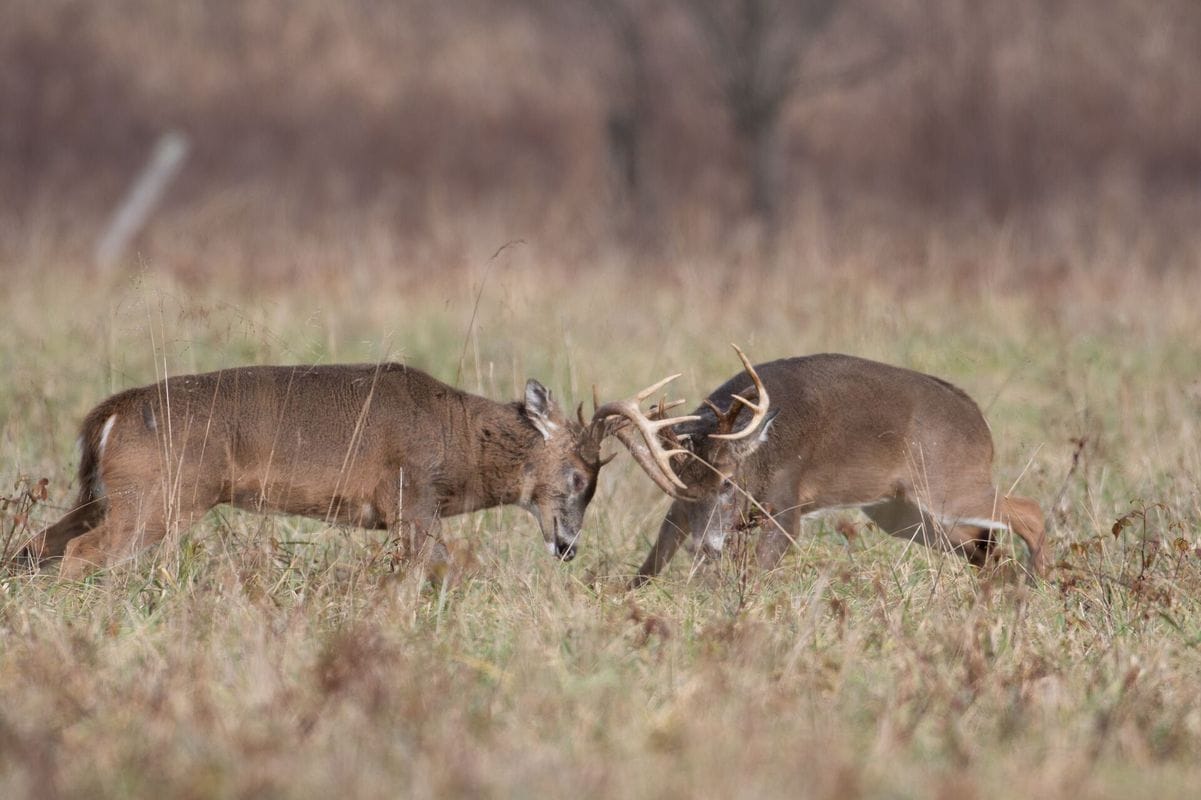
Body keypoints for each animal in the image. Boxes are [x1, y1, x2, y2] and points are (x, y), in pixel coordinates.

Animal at [22, 362, 688, 581]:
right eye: (577, 477)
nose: (568, 544)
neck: (459, 442)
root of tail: (107, 414)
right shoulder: (411, 499)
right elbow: (447, 572)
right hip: (157, 498)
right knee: (80, 553)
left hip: (100, 495)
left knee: (36, 545)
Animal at [619, 347, 1047, 587]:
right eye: (680, 485)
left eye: (727, 482)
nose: (705, 547)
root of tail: (981, 424)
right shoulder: (680, 510)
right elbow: (653, 558)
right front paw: (627, 596)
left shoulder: (786, 503)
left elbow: (759, 569)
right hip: (903, 512)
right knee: (984, 546)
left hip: (947, 484)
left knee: (1031, 512)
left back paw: (1035, 582)